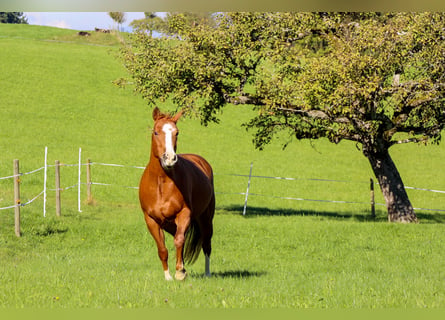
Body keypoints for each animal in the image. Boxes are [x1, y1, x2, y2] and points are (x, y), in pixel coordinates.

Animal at [139, 107, 215, 280]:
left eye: (177, 133)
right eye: (156, 132)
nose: (169, 158)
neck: (161, 183)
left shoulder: (184, 213)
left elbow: (179, 240)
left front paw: (180, 272)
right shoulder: (151, 219)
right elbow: (162, 249)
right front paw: (168, 276)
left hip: (205, 218)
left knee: (206, 244)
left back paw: (207, 273)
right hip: (170, 224)